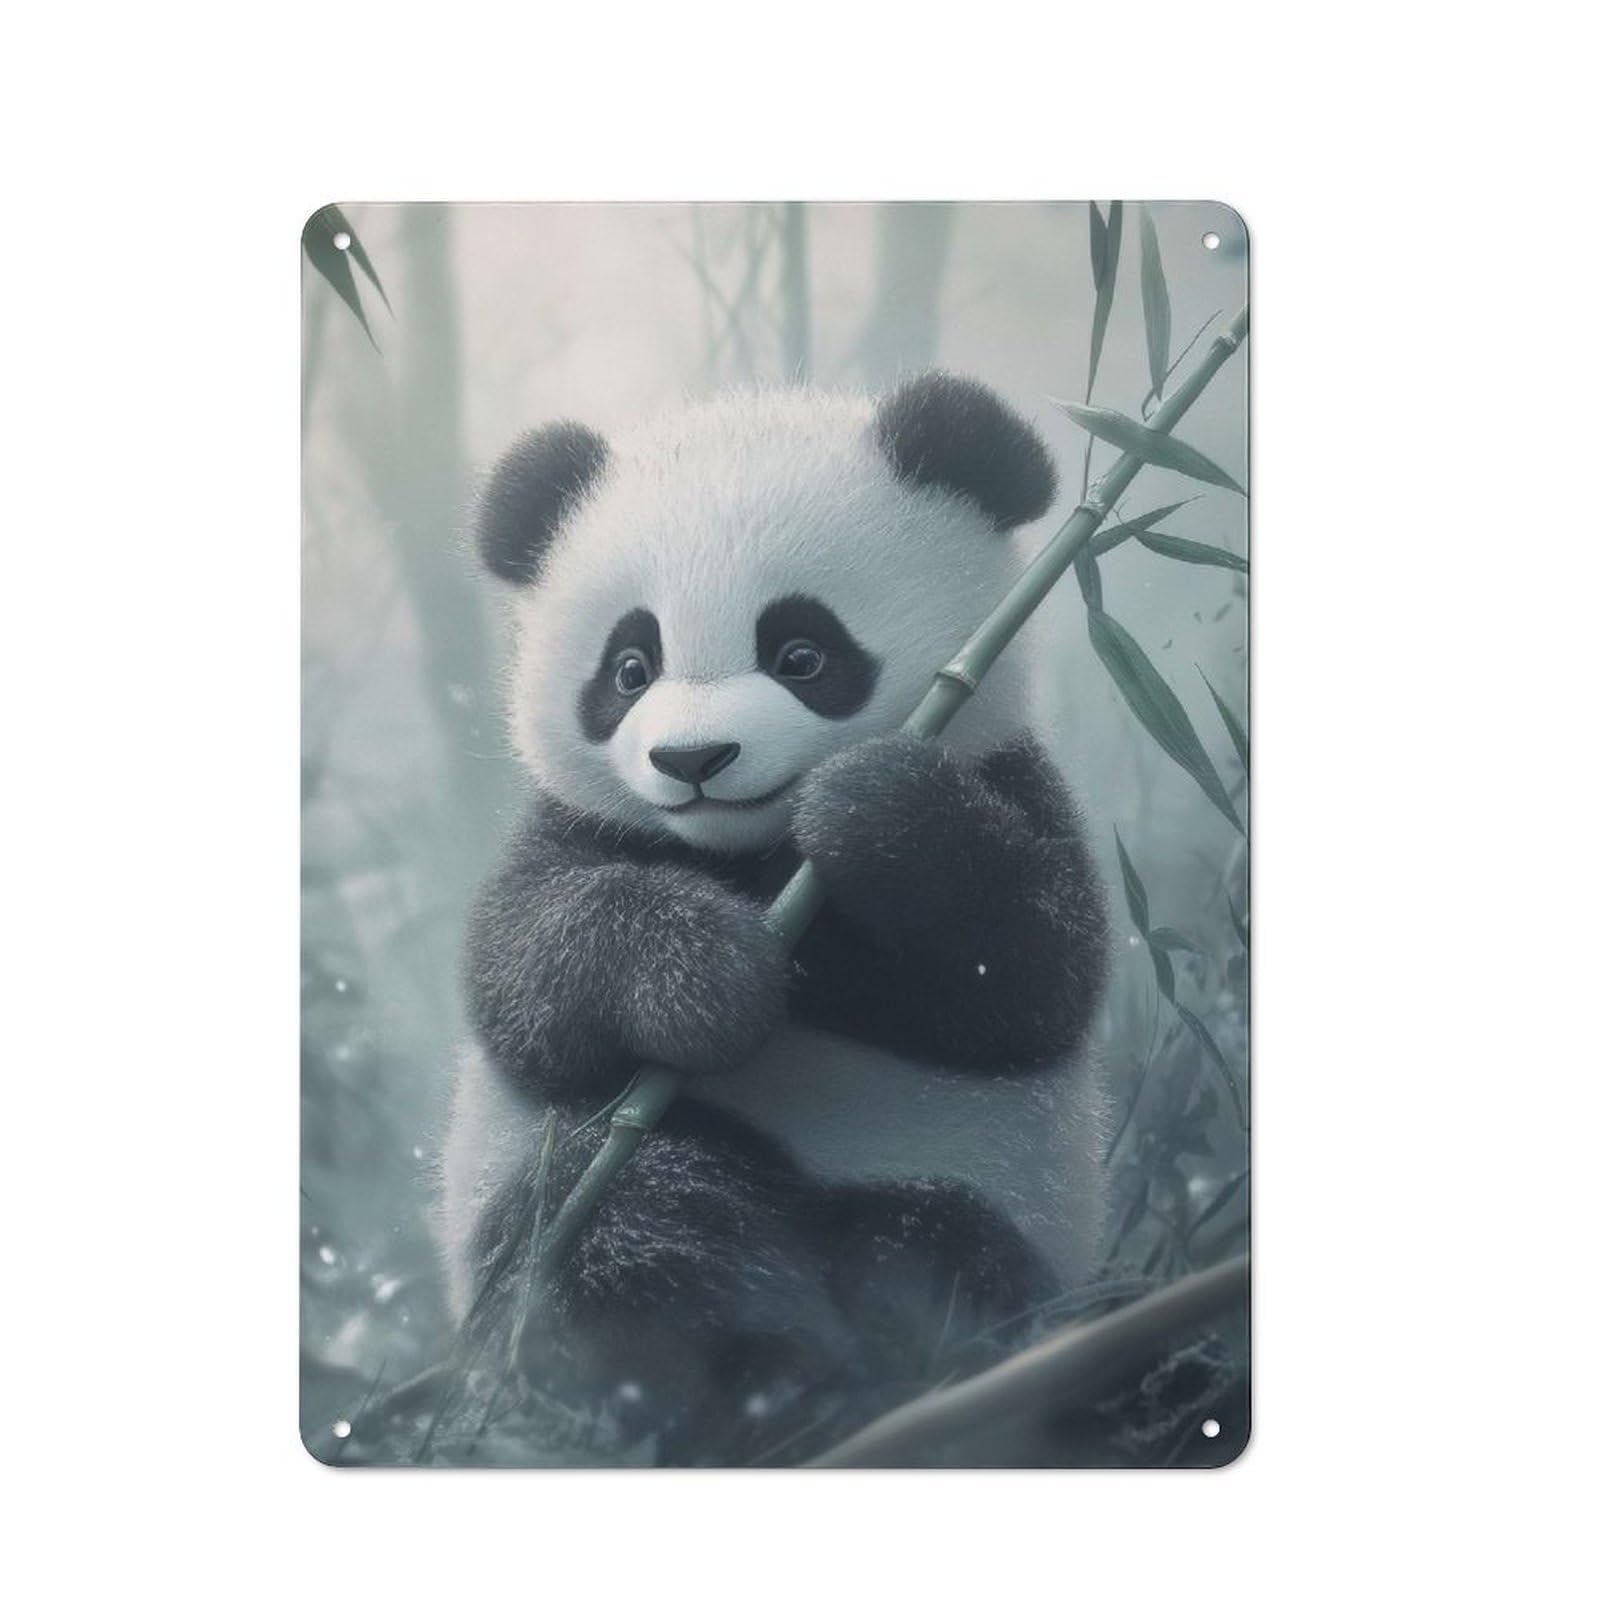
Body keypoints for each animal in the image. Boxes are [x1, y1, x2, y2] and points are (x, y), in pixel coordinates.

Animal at [436, 375, 1111, 1459]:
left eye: (802, 652)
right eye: (629, 668)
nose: (694, 760)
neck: (747, 853)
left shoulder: (1011, 777)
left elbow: (1034, 972)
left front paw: (870, 807)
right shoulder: (571, 830)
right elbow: (528, 979)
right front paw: (707, 975)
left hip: (978, 1189)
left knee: (943, 1249)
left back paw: (881, 1368)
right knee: (621, 1223)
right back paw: (760, 1369)